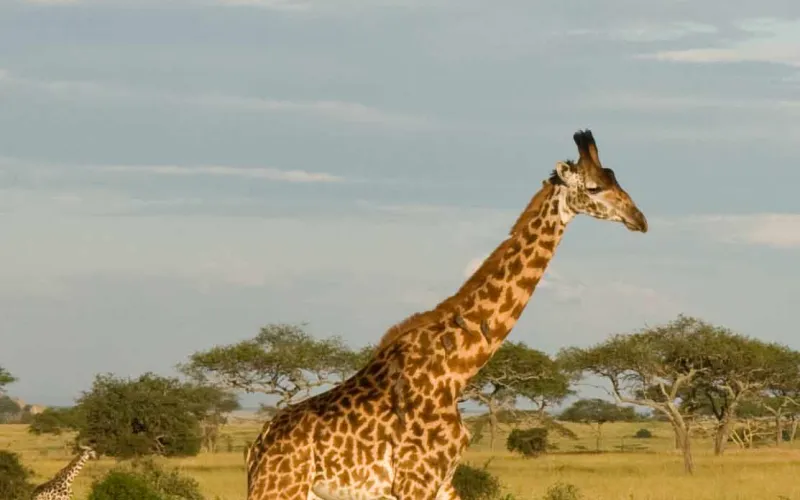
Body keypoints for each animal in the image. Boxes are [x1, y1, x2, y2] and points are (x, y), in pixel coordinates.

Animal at [246, 129, 648, 500]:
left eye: (616, 179)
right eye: (595, 187)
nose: (639, 218)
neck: (458, 366)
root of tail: (255, 449)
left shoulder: (443, 481)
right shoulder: (415, 479)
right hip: (281, 488)